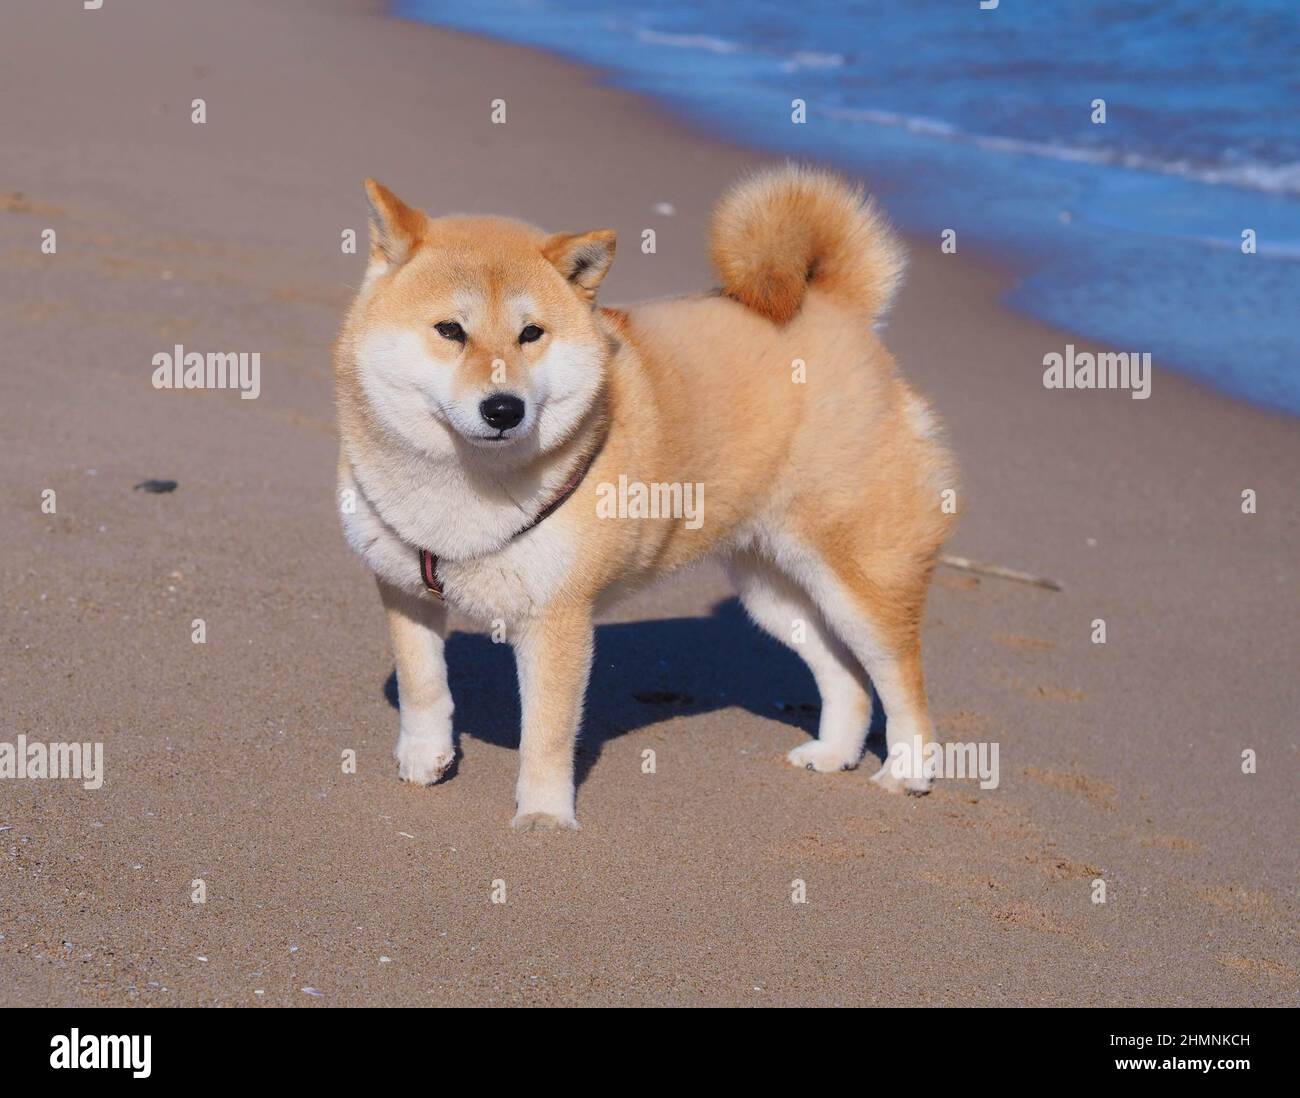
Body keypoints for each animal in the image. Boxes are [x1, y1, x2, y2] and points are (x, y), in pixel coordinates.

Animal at [334, 164, 956, 830]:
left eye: (531, 334)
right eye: (450, 330)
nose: (504, 409)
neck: (463, 485)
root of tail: (837, 309)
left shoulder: (558, 617)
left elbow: (546, 732)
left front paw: (545, 817)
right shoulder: (404, 586)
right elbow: (422, 684)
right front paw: (425, 759)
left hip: (858, 575)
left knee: (900, 676)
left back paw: (908, 771)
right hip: (773, 591)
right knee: (846, 677)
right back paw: (834, 753)